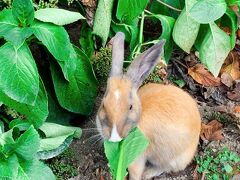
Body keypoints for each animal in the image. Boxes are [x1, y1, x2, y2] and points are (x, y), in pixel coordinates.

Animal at [95, 32, 201, 180]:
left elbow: (135, 172)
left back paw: (148, 173)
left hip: (173, 158)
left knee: (166, 167)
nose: (114, 137)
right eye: (103, 105)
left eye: (130, 107)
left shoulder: (138, 156)